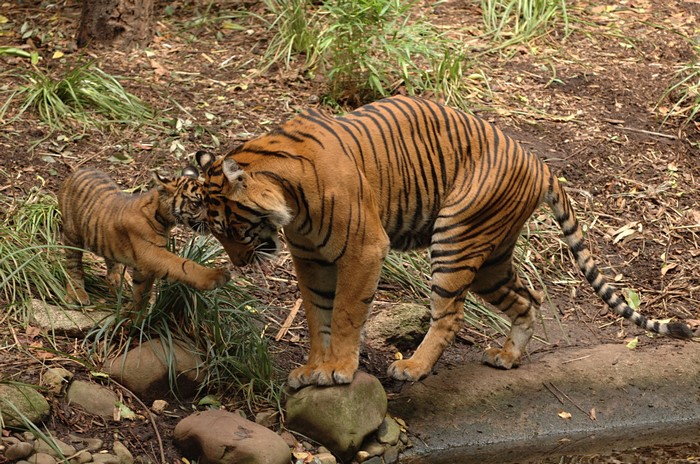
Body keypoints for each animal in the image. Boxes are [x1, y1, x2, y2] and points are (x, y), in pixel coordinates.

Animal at [58, 166, 230, 311]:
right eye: (196, 203)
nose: (216, 219)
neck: (164, 218)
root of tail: (77, 171)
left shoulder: (143, 266)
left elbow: (141, 292)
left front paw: (134, 316)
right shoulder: (150, 253)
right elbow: (183, 265)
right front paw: (217, 276)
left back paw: (116, 279)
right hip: (72, 235)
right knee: (73, 265)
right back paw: (77, 294)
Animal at [196, 95, 693, 389]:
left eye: (232, 230)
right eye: (217, 234)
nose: (238, 263)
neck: (291, 201)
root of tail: (538, 163)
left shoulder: (363, 249)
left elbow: (344, 313)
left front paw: (338, 368)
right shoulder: (309, 258)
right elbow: (317, 314)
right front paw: (313, 368)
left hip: (455, 237)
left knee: (450, 314)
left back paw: (413, 367)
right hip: (492, 258)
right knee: (528, 297)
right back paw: (508, 357)